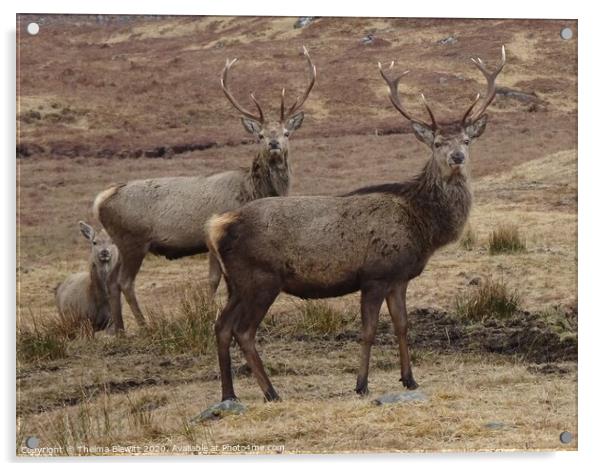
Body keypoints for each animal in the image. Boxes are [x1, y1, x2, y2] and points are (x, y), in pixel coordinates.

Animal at [92, 48, 316, 332]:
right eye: (260, 135)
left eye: (287, 132)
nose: (274, 143)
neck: (253, 190)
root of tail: (101, 199)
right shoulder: (212, 238)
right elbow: (213, 280)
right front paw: (207, 316)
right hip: (133, 240)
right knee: (125, 282)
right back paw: (144, 325)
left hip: (121, 243)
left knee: (112, 281)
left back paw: (120, 330)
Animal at [207, 47, 506, 402]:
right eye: (436, 143)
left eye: (466, 140)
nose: (456, 157)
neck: (422, 225)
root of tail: (218, 226)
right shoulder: (374, 275)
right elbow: (368, 331)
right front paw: (362, 384)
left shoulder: (398, 277)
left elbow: (402, 325)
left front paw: (409, 379)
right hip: (261, 279)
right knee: (243, 331)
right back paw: (271, 392)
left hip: (236, 283)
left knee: (221, 326)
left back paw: (229, 394)